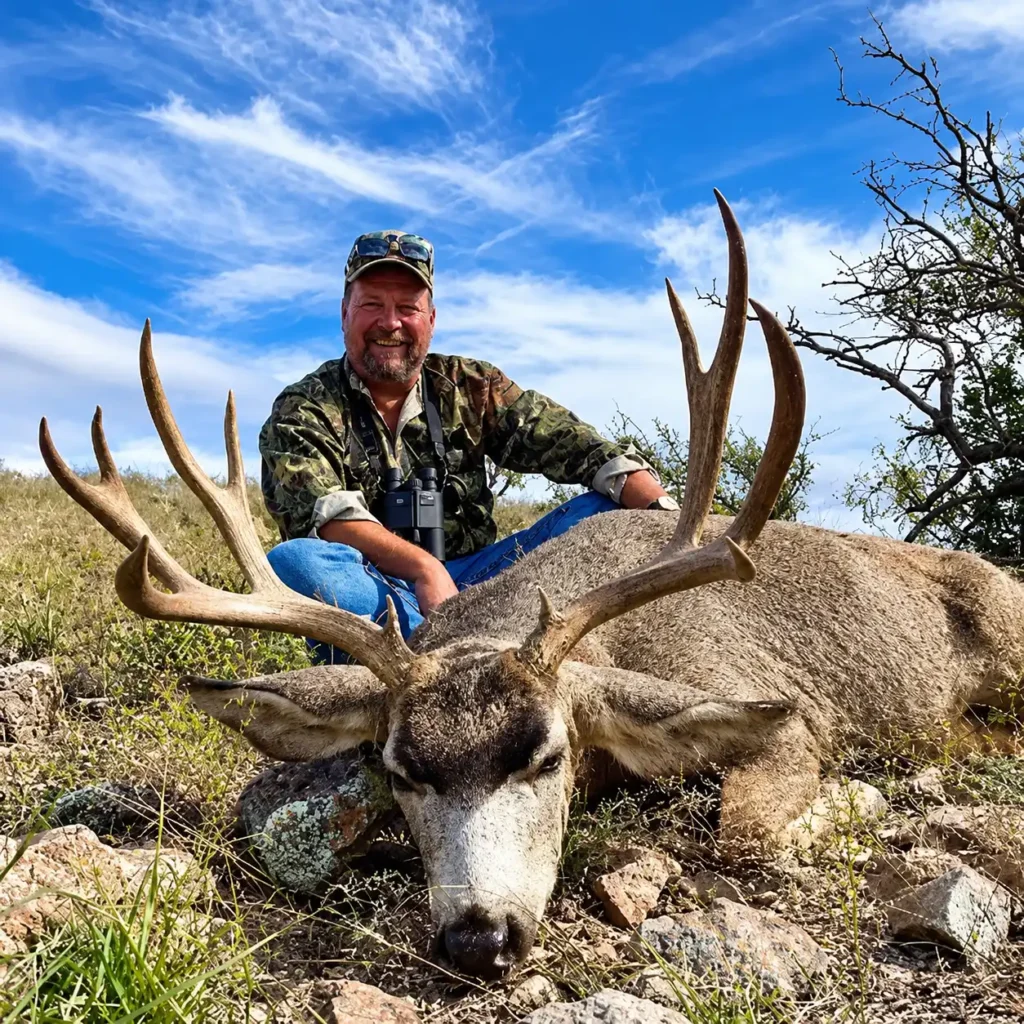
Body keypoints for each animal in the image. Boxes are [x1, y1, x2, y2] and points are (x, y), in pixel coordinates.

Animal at [39, 193, 1024, 979]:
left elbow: (745, 827)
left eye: (548, 757)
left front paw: (856, 796)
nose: (481, 940)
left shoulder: (772, 707)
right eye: (400, 770)